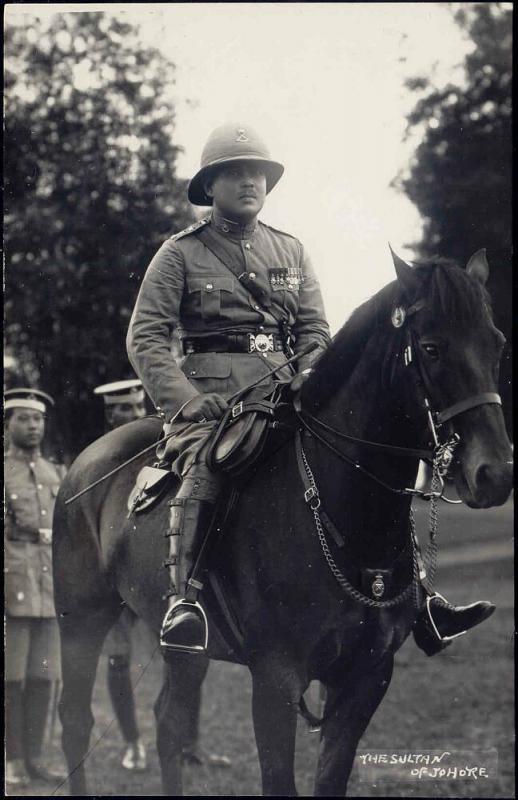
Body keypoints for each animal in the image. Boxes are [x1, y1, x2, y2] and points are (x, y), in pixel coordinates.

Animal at [53, 250, 516, 792]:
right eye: (431, 348)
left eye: (496, 343)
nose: (495, 473)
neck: (348, 520)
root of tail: (82, 464)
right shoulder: (275, 681)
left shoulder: (366, 679)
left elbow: (330, 778)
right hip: (82, 620)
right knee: (76, 721)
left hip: (181, 647)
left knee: (168, 721)